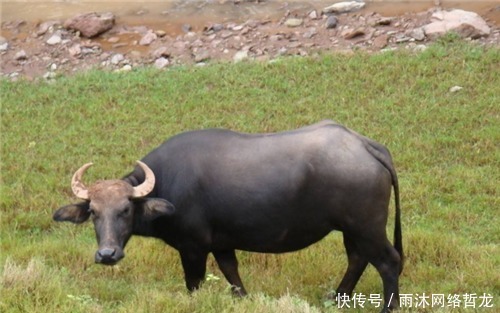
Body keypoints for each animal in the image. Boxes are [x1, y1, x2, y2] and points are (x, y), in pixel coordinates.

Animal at [52, 119, 402, 310]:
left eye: (125, 209)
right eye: (94, 212)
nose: (107, 255)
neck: (167, 182)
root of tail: (364, 144)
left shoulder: (193, 247)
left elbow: (194, 283)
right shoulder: (222, 244)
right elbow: (232, 274)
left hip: (368, 226)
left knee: (388, 262)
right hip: (351, 228)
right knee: (357, 258)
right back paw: (337, 298)